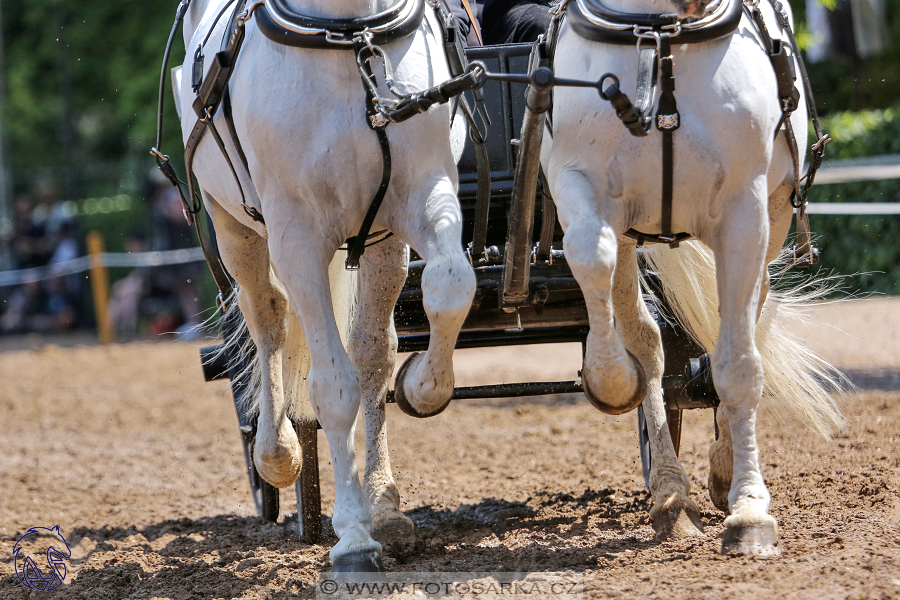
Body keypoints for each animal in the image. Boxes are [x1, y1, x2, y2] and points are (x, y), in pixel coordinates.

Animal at [176, 0, 472, 572]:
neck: (348, 34)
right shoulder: (296, 237)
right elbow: (333, 386)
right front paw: (354, 538)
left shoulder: (421, 194)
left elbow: (450, 288)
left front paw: (424, 387)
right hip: (233, 226)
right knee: (266, 318)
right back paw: (276, 452)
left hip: (379, 242)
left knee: (372, 353)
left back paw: (384, 504)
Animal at [544, 0, 848, 556]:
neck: (663, 37)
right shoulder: (580, 185)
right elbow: (591, 256)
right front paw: (611, 380)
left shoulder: (745, 212)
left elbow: (739, 363)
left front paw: (750, 510)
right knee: (645, 339)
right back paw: (670, 495)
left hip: (770, 217)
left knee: (748, 321)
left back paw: (723, 474)